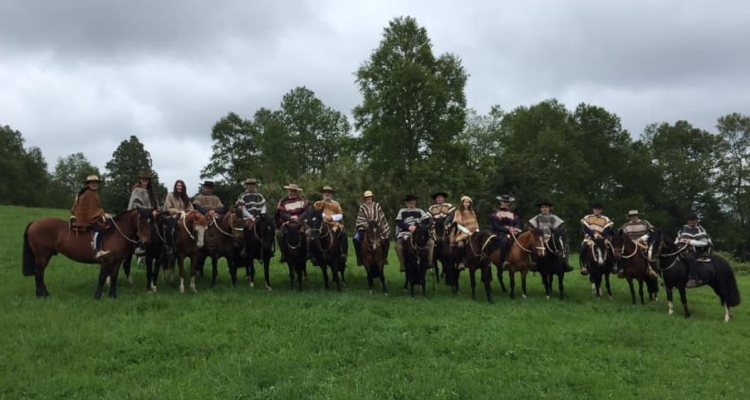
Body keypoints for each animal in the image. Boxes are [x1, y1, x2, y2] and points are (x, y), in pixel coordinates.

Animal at [22, 208, 155, 298]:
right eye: (142, 221)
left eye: (152, 222)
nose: (147, 242)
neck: (116, 233)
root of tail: (34, 223)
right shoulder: (106, 261)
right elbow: (102, 277)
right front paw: (97, 296)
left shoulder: (117, 262)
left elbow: (114, 278)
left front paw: (112, 296)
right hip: (42, 255)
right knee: (39, 272)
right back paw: (43, 294)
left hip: (46, 255)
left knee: (39, 272)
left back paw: (40, 293)